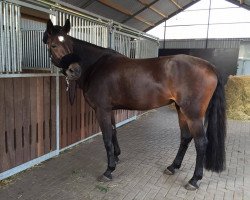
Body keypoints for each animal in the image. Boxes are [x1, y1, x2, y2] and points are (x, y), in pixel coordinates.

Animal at [43, 19, 227, 190]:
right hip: (180, 110)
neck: (96, 66)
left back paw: (194, 180)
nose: (74, 70)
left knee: (201, 143)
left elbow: (106, 138)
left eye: (71, 45)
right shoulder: (109, 109)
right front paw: (116, 156)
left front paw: (109, 170)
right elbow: (113, 132)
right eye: (54, 45)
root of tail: (210, 67)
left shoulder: (101, 110)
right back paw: (173, 167)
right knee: (186, 137)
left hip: (193, 114)